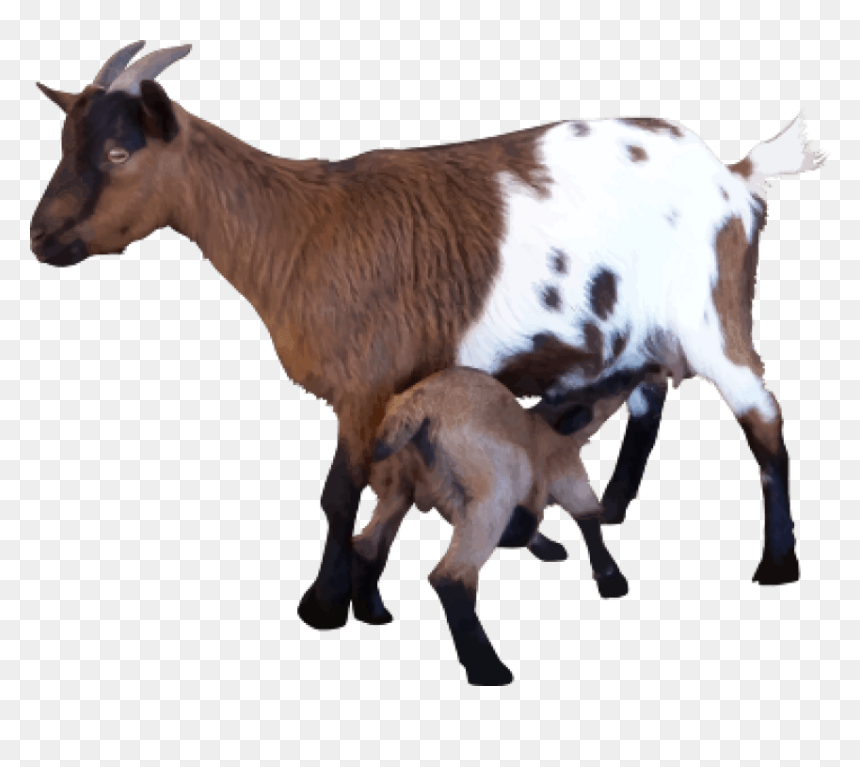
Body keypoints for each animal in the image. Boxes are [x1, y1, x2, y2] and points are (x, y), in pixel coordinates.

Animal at [31, 43, 825, 637]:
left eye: (118, 152)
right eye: (68, 143)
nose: (41, 239)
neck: (298, 231)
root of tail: (735, 177)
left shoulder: (366, 385)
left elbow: (339, 493)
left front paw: (325, 605)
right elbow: (389, 487)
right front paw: (366, 595)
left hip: (715, 318)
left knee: (764, 419)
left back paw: (778, 563)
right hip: (641, 327)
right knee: (649, 396)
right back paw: (615, 506)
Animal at [360, 365, 623, 686]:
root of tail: (417, 406)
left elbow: (530, 523)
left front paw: (544, 547)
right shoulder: (567, 476)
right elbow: (589, 516)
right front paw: (612, 579)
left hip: (396, 487)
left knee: (368, 544)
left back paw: (372, 612)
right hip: (491, 494)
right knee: (450, 575)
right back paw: (488, 669)